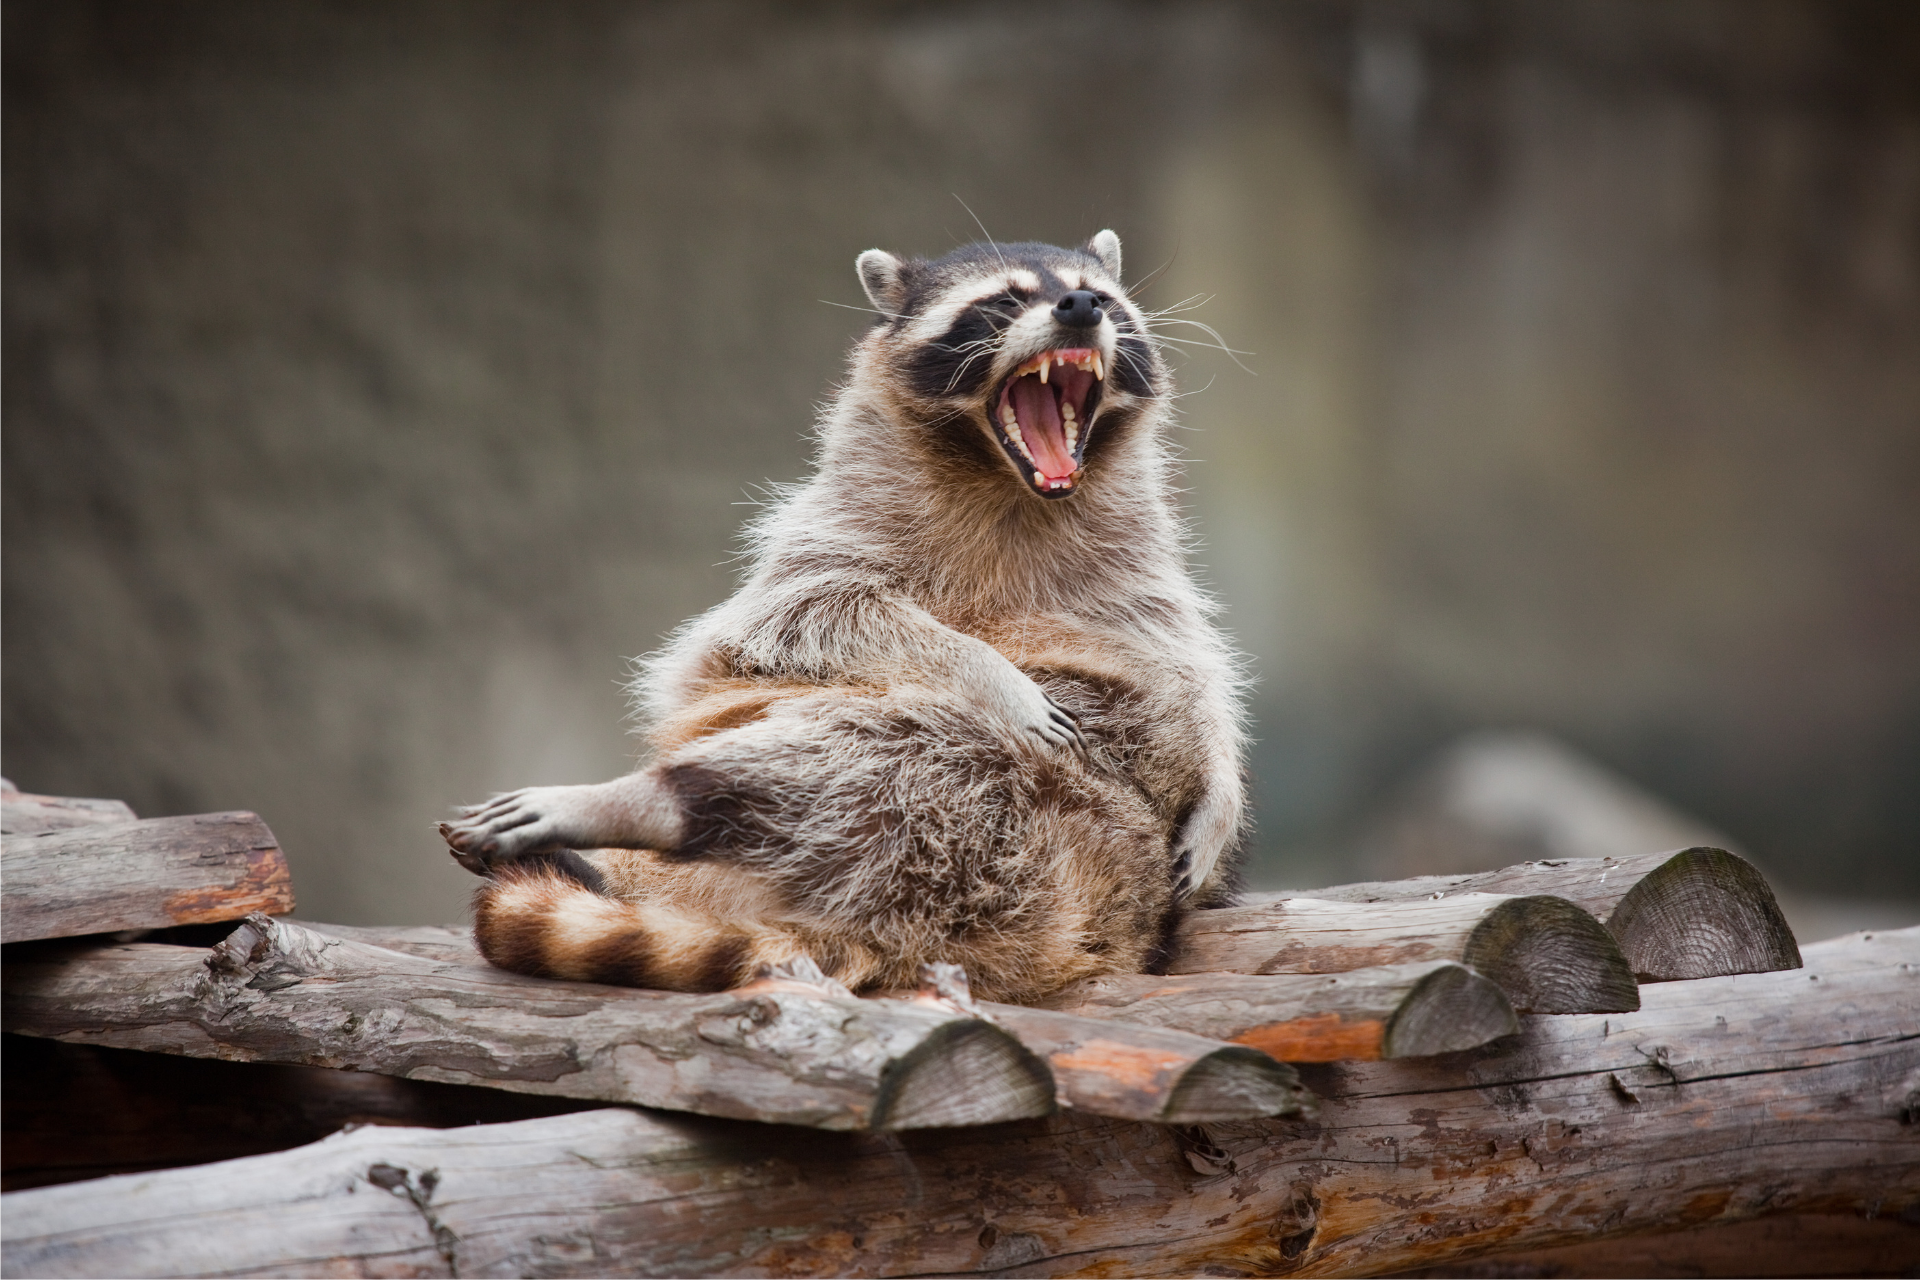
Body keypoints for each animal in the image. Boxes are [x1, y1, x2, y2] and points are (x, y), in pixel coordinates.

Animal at [437, 233, 1251, 1013]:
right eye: (1004, 300)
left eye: (1104, 299)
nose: (1080, 306)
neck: (1013, 485)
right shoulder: (834, 519)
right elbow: (815, 611)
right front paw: (986, 669)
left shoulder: (1138, 557)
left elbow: (1186, 662)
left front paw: (1221, 783)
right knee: (858, 748)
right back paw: (656, 799)